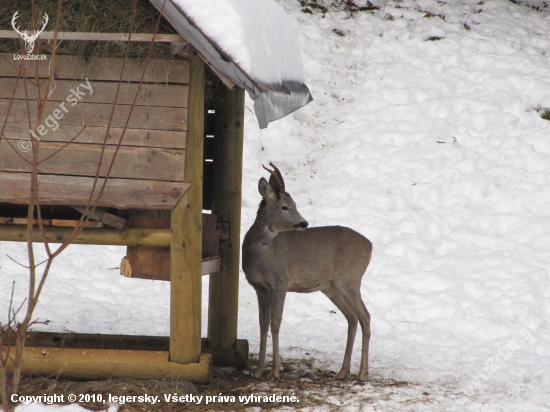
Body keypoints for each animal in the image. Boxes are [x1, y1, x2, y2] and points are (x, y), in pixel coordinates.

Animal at [243, 162, 376, 380]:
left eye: (295, 204)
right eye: (285, 206)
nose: (303, 223)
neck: (262, 256)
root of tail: (370, 246)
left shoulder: (280, 281)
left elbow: (275, 323)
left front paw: (275, 370)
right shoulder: (259, 287)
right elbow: (263, 325)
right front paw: (259, 370)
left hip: (350, 279)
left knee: (365, 316)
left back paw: (362, 373)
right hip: (331, 287)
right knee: (352, 317)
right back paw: (343, 371)